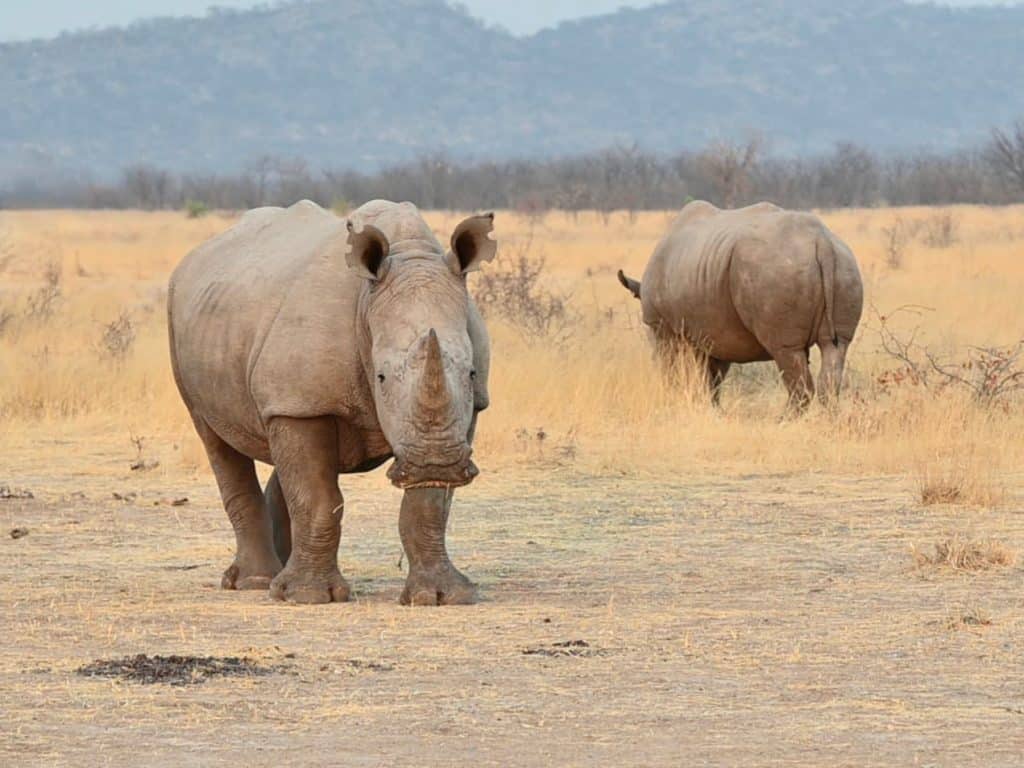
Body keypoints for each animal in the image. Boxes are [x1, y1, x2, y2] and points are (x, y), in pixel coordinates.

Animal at [168, 199, 495, 605]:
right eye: (380, 377)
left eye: (470, 372)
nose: (434, 463)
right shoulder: (301, 399)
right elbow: (317, 497)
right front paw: (308, 595)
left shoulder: (468, 408)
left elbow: (429, 507)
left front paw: (439, 596)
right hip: (185, 328)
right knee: (217, 440)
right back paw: (257, 582)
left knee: (282, 449)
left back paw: (278, 575)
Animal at [617, 201, 863, 408]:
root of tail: (822, 242)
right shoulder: (718, 333)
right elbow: (712, 379)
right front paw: (713, 410)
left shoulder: (664, 328)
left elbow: (675, 370)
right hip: (844, 266)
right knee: (835, 347)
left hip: (775, 270)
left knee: (785, 351)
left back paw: (780, 422)